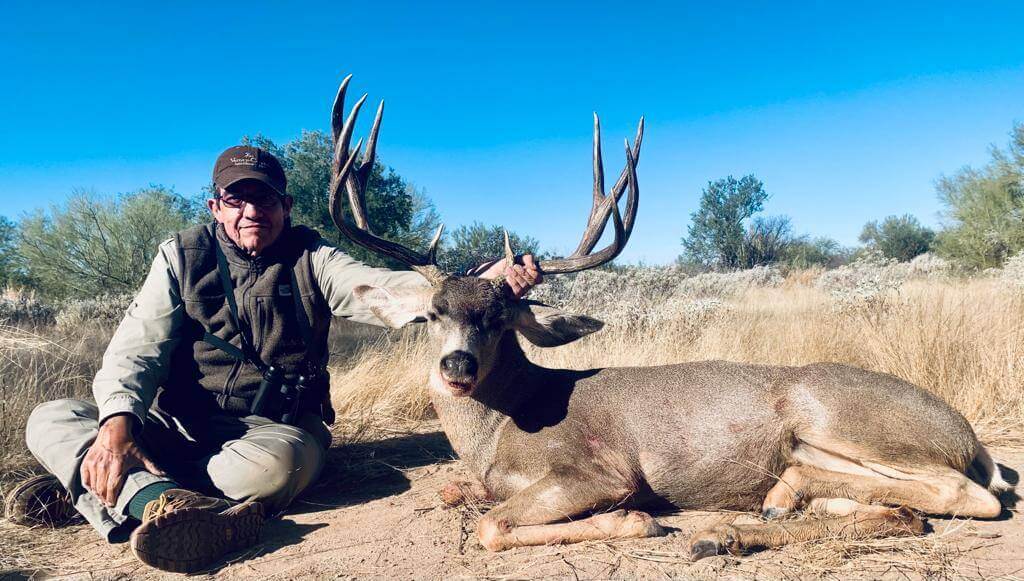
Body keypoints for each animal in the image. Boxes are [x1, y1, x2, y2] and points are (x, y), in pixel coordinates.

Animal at [325, 75, 1013, 559]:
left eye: (499, 317)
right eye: (432, 314)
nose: (457, 366)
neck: (500, 429)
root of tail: (970, 437)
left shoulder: (596, 468)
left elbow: (494, 525)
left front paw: (634, 520)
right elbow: (457, 495)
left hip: (841, 416)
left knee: (967, 494)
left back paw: (763, 503)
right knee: (901, 509)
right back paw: (756, 515)